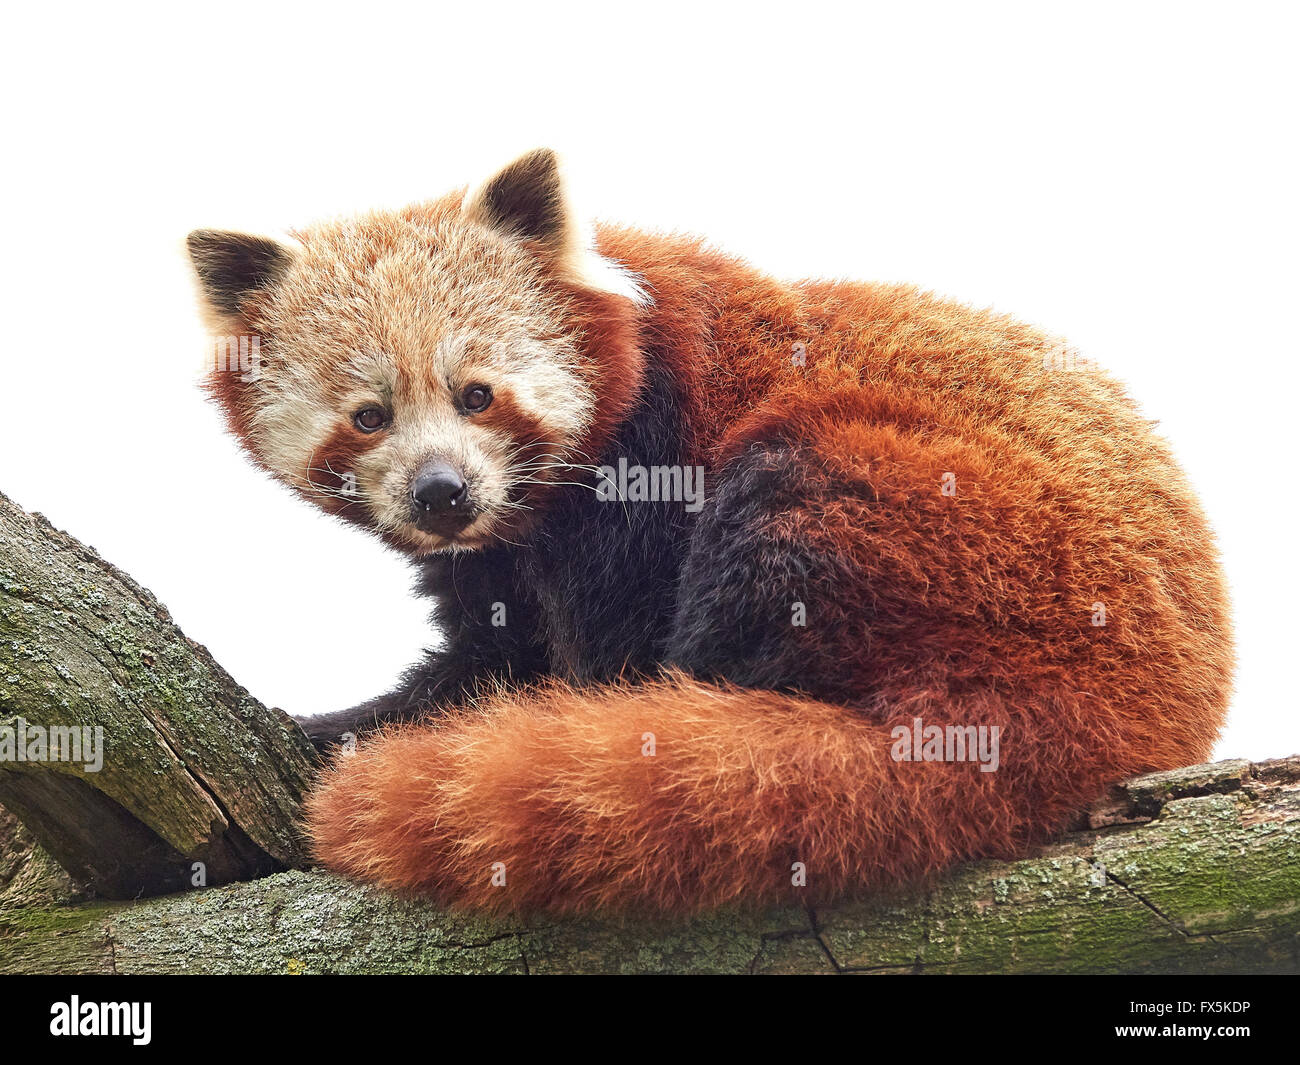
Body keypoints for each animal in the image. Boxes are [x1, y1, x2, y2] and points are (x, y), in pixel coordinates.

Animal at [183, 150, 1227, 915]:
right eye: (369, 417)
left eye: (477, 394)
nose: (442, 493)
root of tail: (1131, 700)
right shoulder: (497, 563)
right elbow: (492, 654)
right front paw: (324, 727)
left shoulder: (651, 462)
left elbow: (607, 643)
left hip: (940, 520)